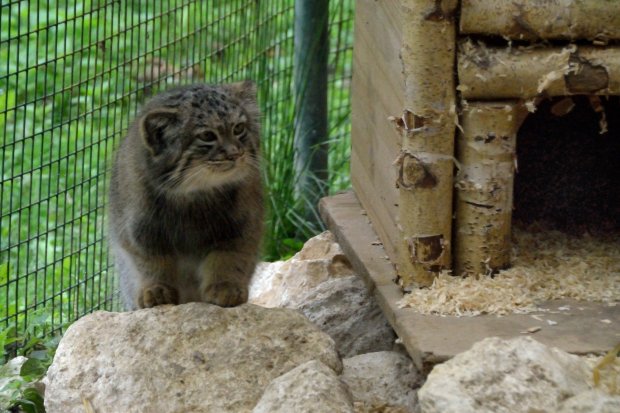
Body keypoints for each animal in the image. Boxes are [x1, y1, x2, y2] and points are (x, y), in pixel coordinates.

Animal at [108, 82, 262, 308]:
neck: (192, 195)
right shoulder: (139, 233)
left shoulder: (241, 229)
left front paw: (225, 287)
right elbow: (151, 264)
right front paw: (156, 289)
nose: (236, 154)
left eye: (238, 128)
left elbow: (229, 260)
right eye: (207, 136)